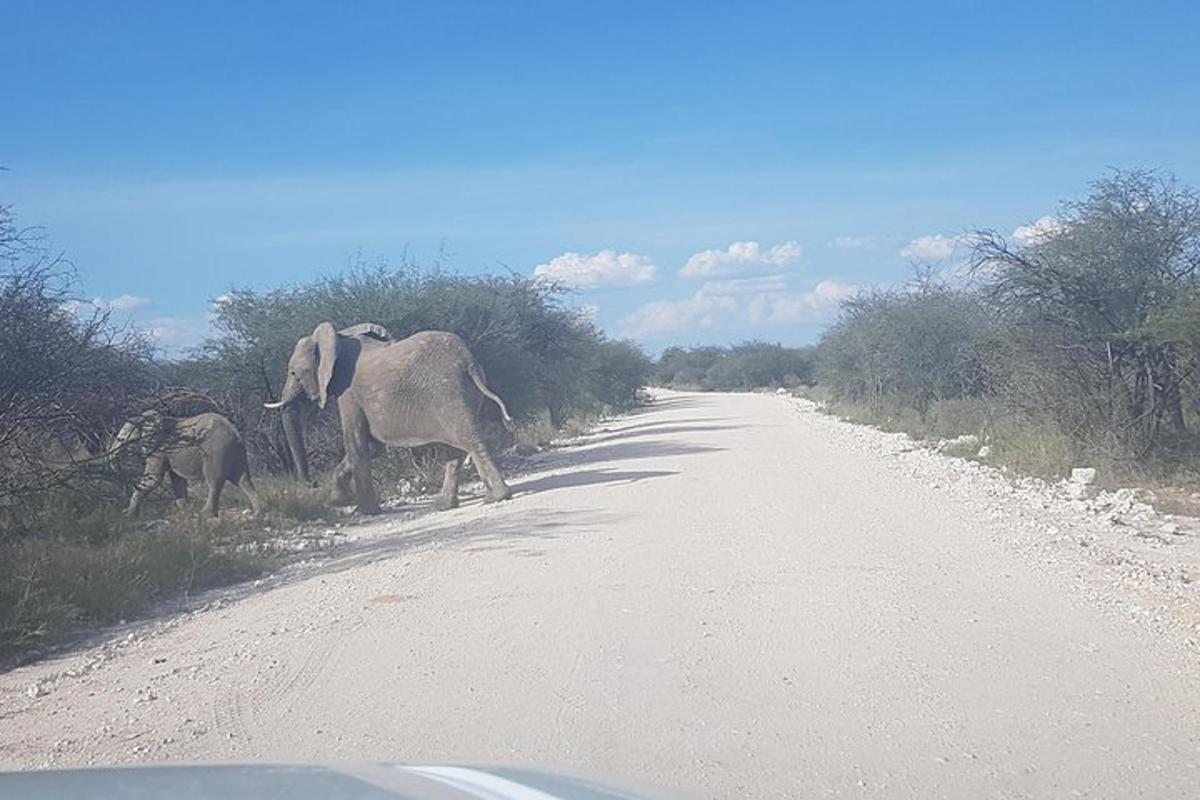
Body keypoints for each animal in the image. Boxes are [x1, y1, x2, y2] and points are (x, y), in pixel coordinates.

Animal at [110, 412, 260, 520]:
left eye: (124, 435)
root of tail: (236, 435)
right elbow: (177, 480)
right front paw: (185, 513)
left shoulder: (159, 449)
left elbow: (153, 479)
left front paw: (128, 515)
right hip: (235, 453)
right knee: (243, 479)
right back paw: (258, 511)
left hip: (215, 451)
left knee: (214, 480)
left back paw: (205, 514)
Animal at [267, 323, 511, 515]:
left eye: (293, 373)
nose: (312, 484)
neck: (339, 337)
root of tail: (469, 362)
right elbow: (372, 447)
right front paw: (337, 501)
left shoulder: (349, 393)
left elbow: (356, 442)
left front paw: (364, 511)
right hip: (463, 394)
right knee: (457, 448)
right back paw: (445, 505)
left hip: (447, 393)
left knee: (469, 439)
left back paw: (496, 497)